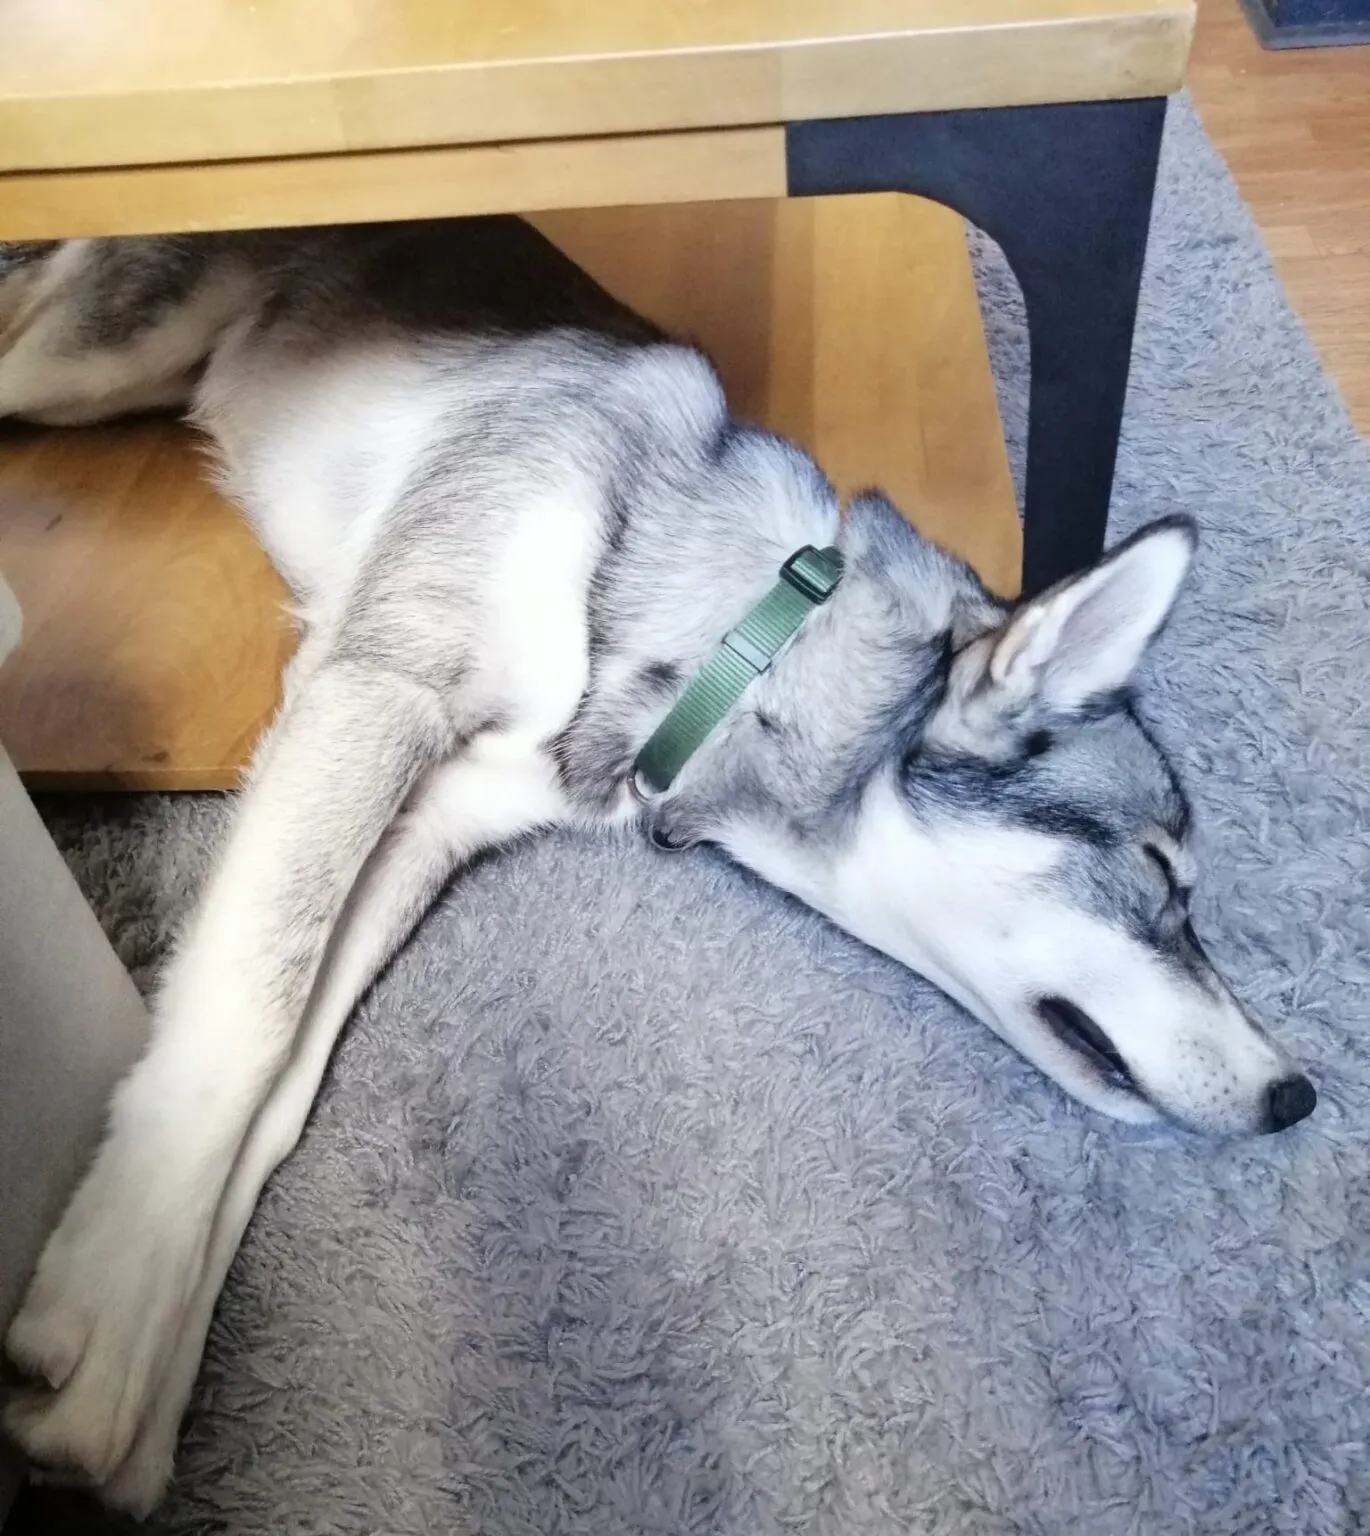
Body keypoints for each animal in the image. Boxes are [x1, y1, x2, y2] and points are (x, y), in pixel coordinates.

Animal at [0, 222, 1314, 1505]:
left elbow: (274, 1097)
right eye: (1158, 876)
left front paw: (143, 1380)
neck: (732, 637)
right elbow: (246, 1028)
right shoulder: (375, 695)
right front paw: (104, 1332)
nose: (1293, 1098)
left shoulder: (436, 816)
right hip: (85, 360)